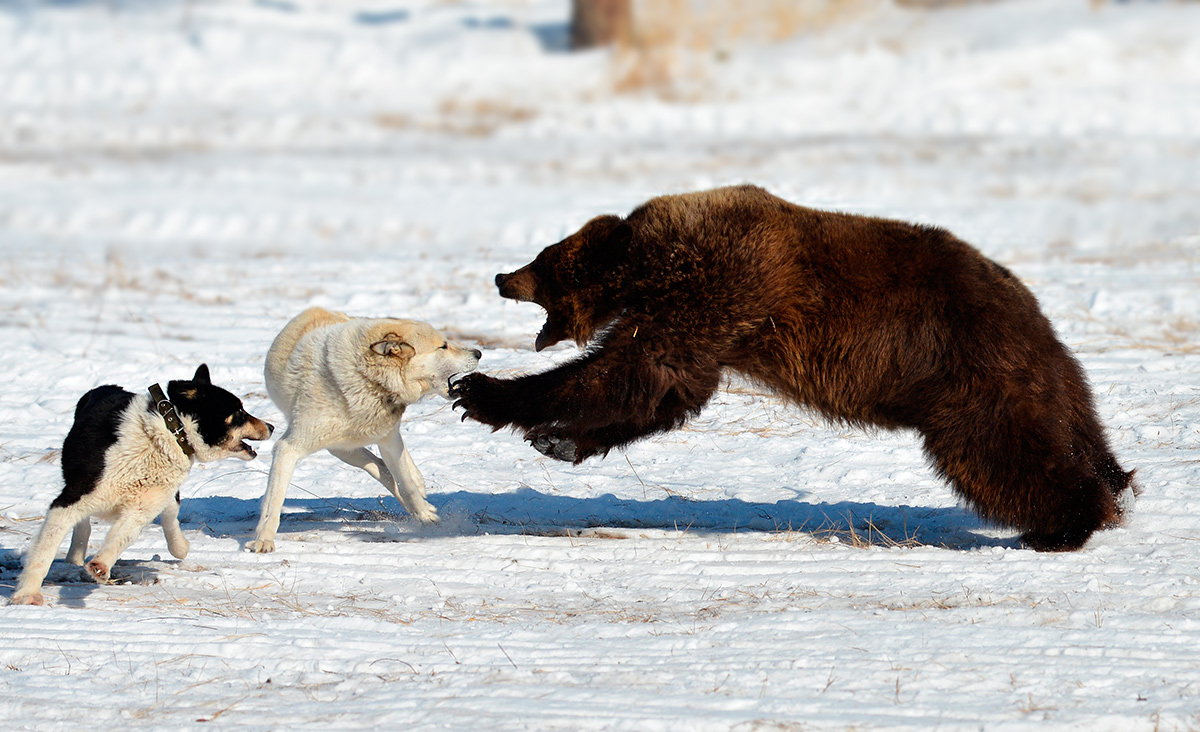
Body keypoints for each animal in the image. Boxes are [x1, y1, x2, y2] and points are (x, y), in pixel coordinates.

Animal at [9, 364, 272, 604]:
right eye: (239, 411)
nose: (271, 426)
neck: (166, 434)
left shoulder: (141, 508)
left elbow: (120, 537)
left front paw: (100, 565)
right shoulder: (71, 499)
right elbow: (43, 553)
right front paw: (27, 595)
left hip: (164, 497)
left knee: (170, 519)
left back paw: (179, 546)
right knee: (83, 526)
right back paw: (74, 556)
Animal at [249, 304, 482, 549]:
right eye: (443, 346)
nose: (478, 353)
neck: (366, 380)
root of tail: (317, 308)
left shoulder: (389, 441)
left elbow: (406, 484)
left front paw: (424, 512)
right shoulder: (288, 448)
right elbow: (273, 502)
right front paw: (263, 540)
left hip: (358, 445)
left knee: (387, 466)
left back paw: (419, 487)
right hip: (341, 450)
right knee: (377, 465)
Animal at [451, 182, 1132, 547]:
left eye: (542, 258)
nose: (502, 275)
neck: (644, 266)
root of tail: (1035, 317)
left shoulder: (717, 284)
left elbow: (624, 375)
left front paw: (480, 392)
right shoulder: (707, 325)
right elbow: (664, 393)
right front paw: (558, 442)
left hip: (970, 378)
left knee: (1001, 452)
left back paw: (1065, 524)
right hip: (1033, 378)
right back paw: (1107, 487)